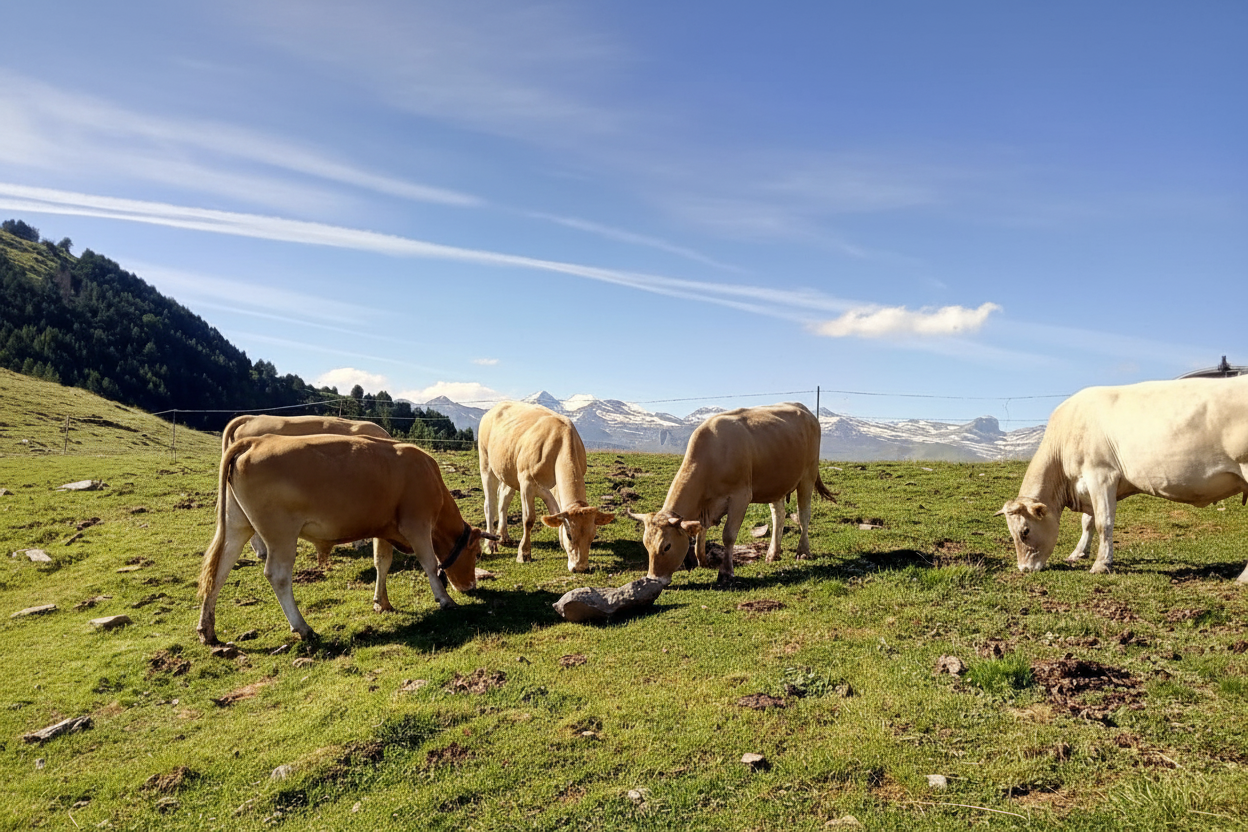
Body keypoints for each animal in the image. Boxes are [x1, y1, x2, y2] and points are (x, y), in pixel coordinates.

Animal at [197, 433, 496, 644]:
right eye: (476, 553)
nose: (471, 587)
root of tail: (256, 441)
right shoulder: (417, 524)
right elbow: (429, 563)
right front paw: (445, 600)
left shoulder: (384, 529)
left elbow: (382, 563)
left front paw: (381, 602)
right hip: (281, 535)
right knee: (277, 575)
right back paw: (303, 627)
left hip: (237, 525)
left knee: (218, 571)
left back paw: (207, 629)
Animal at [477, 401, 614, 572]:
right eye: (570, 535)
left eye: (593, 535)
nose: (580, 568)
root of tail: (496, 406)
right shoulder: (526, 482)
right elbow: (528, 519)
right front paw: (523, 554)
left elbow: (557, 515)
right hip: (486, 463)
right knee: (490, 505)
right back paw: (490, 544)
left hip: (509, 470)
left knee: (504, 498)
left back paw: (504, 537)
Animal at [628, 402, 834, 585]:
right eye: (646, 545)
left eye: (667, 546)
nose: (653, 579)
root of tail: (806, 411)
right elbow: (701, 531)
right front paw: (702, 560)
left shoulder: (740, 497)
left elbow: (728, 535)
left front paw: (726, 572)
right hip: (776, 483)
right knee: (779, 515)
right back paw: (772, 553)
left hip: (808, 475)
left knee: (804, 514)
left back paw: (803, 551)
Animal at [996, 376, 1248, 582]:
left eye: (1024, 532)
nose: (1024, 569)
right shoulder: (1091, 484)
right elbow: (1088, 521)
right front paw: (1078, 553)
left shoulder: (1101, 474)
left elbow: (1103, 522)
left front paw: (1101, 564)